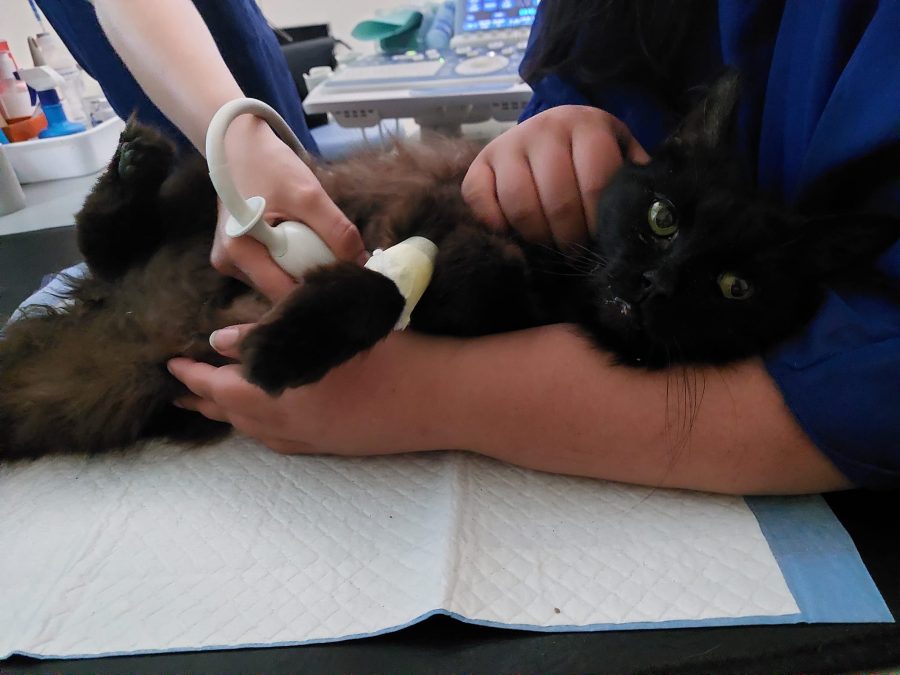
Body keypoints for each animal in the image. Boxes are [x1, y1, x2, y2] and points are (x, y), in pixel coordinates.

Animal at [1, 70, 897, 459]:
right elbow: (385, 279)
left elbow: (433, 287)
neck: (556, 277)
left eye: (736, 287)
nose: (655, 285)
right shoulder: (432, 202)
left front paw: (286, 339)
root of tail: (112, 322)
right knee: (105, 236)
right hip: (201, 199)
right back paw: (131, 164)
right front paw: (291, 344)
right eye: (662, 218)